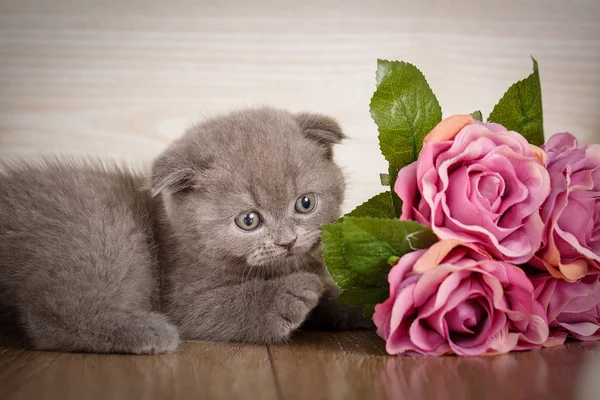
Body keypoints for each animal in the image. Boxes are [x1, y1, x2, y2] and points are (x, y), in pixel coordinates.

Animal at [0, 106, 368, 354]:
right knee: (49, 315)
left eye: (305, 204)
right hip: (104, 231)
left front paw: (361, 305)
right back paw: (148, 332)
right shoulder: (182, 298)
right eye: (248, 221)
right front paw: (289, 295)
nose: (287, 241)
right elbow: (228, 306)